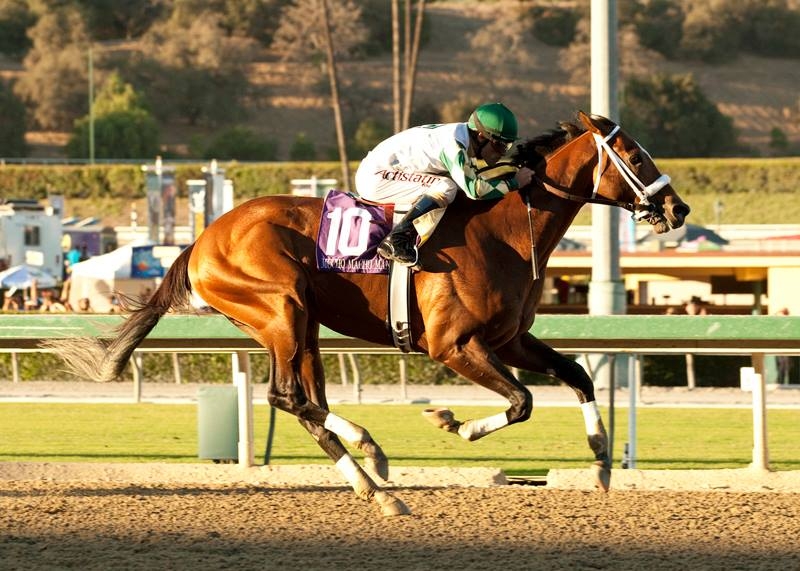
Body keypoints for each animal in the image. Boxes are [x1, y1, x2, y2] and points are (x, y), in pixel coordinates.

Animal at [50, 113, 688, 520]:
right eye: (634, 155)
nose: (677, 207)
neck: (502, 229)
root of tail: (200, 240)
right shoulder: (454, 345)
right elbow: (521, 401)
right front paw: (451, 422)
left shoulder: (509, 338)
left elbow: (575, 375)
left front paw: (601, 459)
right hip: (281, 308)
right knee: (287, 397)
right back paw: (373, 462)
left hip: (300, 324)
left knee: (307, 403)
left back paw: (373, 481)